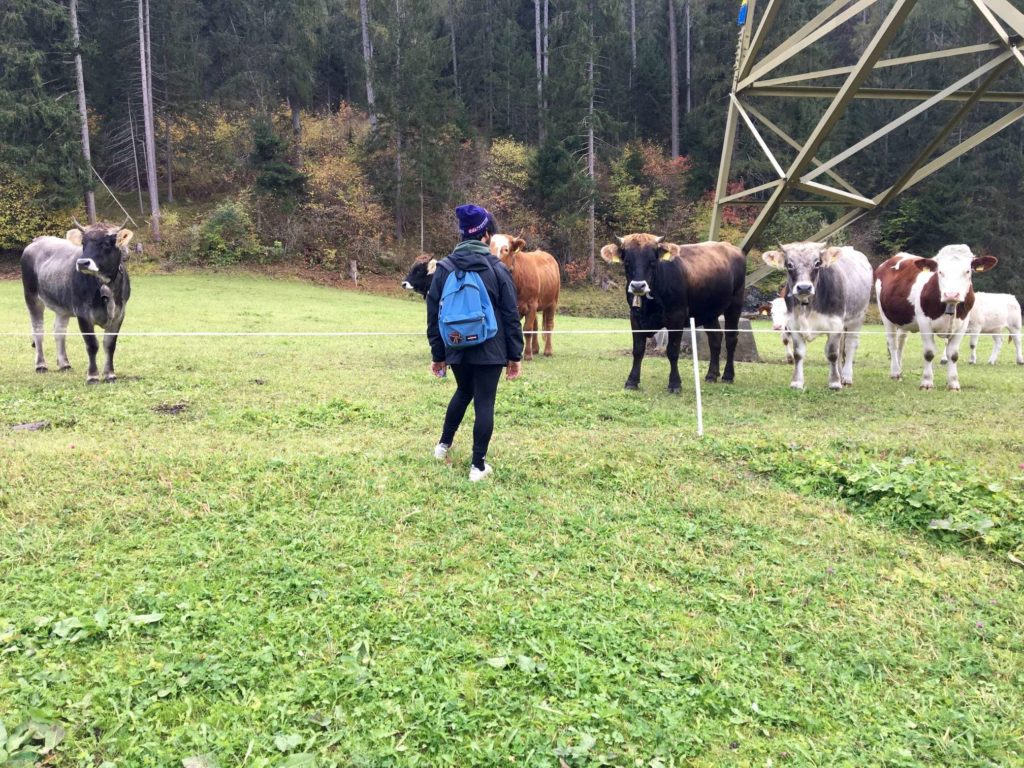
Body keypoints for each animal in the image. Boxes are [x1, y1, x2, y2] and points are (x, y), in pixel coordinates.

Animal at [21, 218, 134, 382]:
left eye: (106, 243)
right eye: (83, 242)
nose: (82, 263)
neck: (105, 285)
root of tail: (38, 240)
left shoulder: (119, 314)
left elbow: (109, 345)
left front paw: (110, 374)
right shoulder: (83, 313)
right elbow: (92, 345)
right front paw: (93, 376)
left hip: (62, 307)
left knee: (59, 331)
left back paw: (64, 364)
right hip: (31, 296)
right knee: (38, 331)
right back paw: (41, 365)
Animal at [598, 234, 745, 393]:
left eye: (653, 261)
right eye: (627, 262)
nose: (638, 286)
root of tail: (733, 248)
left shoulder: (676, 317)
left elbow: (672, 351)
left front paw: (675, 383)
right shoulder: (635, 317)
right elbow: (638, 350)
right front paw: (632, 381)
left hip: (735, 303)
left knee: (731, 339)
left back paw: (728, 375)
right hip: (709, 311)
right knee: (715, 339)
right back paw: (712, 374)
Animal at [761, 241, 872, 391]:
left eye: (817, 263)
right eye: (789, 264)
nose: (804, 287)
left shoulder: (835, 324)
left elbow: (832, 353)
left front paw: (834, 382)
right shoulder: (794, 325)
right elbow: (798, 354)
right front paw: (796, 382)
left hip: (857, 317)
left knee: (850, 345)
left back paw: (846, 377)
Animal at [872, 246, 999, 391]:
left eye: (967, 271)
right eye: (940, 271)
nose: (951, 294)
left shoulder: (962, 324)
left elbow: (953, 354)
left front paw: (953, 383)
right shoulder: (924, 323)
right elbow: (929, 353)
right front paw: (926, 383)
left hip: (904, 319)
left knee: (901, 342)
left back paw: (900, 370)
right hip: (886, 316)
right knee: (892, 343)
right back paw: (895, 373)